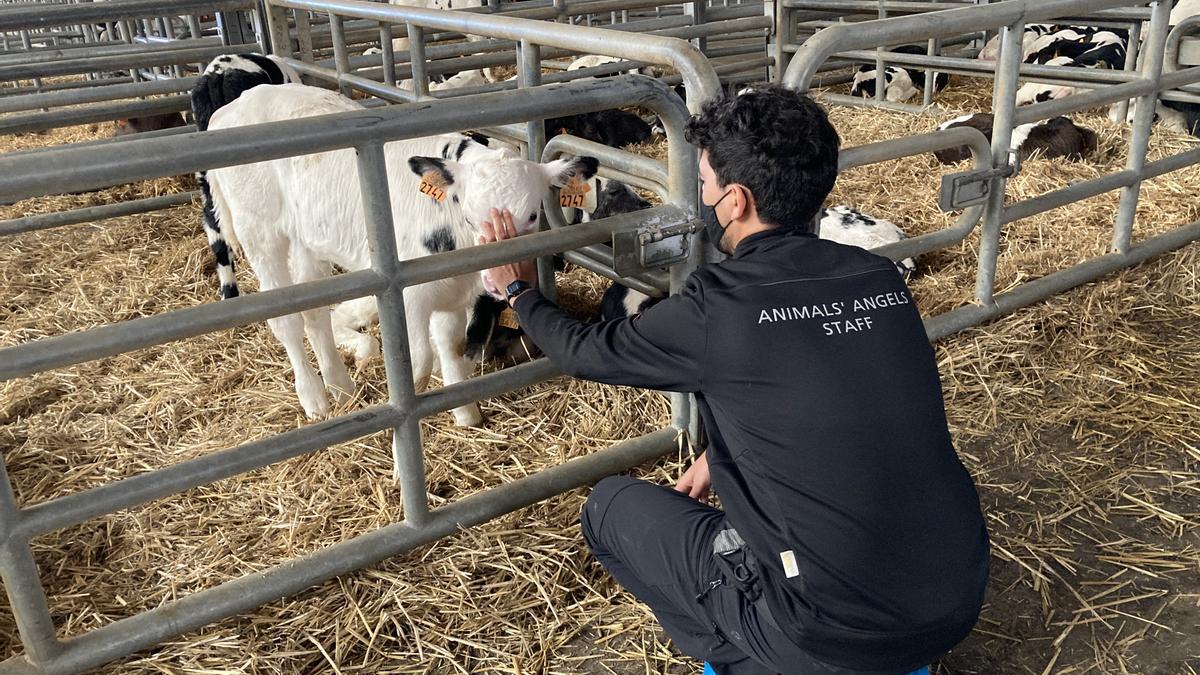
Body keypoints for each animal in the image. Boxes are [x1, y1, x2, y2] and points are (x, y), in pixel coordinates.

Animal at [207, 84, 600, 422]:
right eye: (469, 215)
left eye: (532, 215)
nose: (497, 280)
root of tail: (238, 103)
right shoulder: (409, 294)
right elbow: (422, 356)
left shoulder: (454, 295)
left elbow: (451, 343)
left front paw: (464, 411)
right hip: (261, 233)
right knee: (286, 320)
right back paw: (314, 397)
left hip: (308, 240)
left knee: (314, 312)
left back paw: (340, 387)